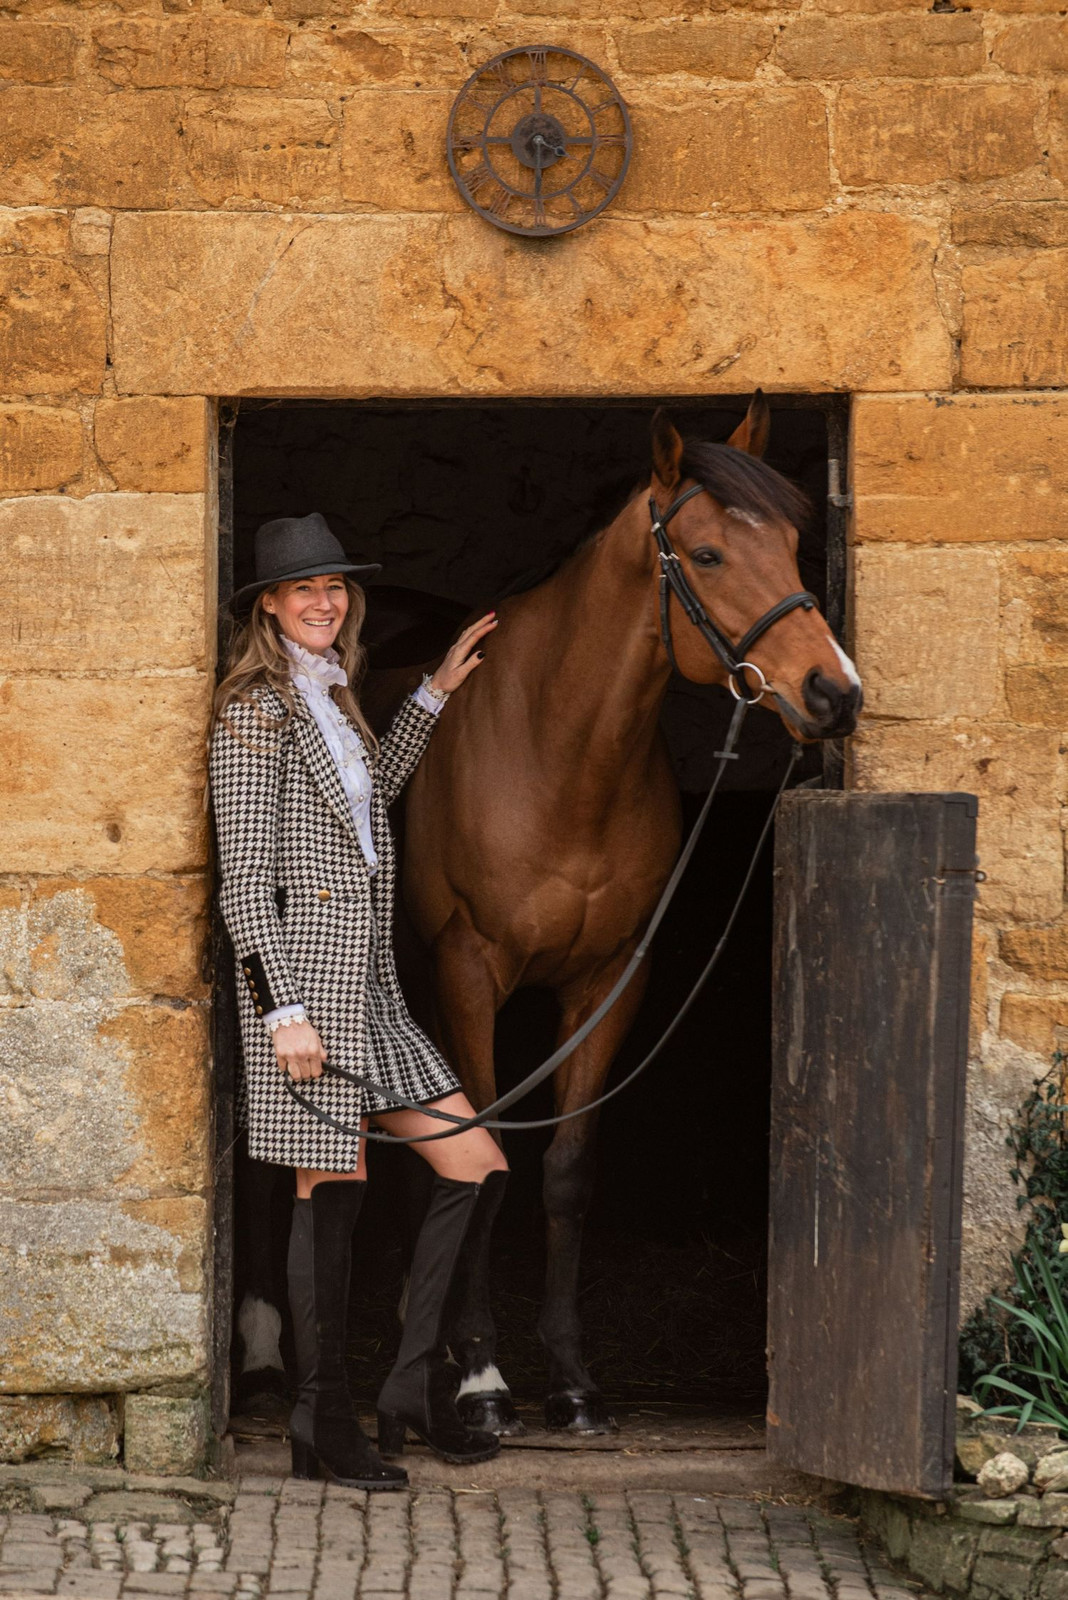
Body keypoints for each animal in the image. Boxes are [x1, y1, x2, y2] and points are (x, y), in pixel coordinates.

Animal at [399, 397, 864, 1434]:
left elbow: (568, 1170)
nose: (835, 692)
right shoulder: (468, 971)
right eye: (708, 554)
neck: (555, 751)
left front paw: (573, 1384)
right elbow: (488, 1156)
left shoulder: (611, 980)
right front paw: (483, 1381)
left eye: (793, 542)